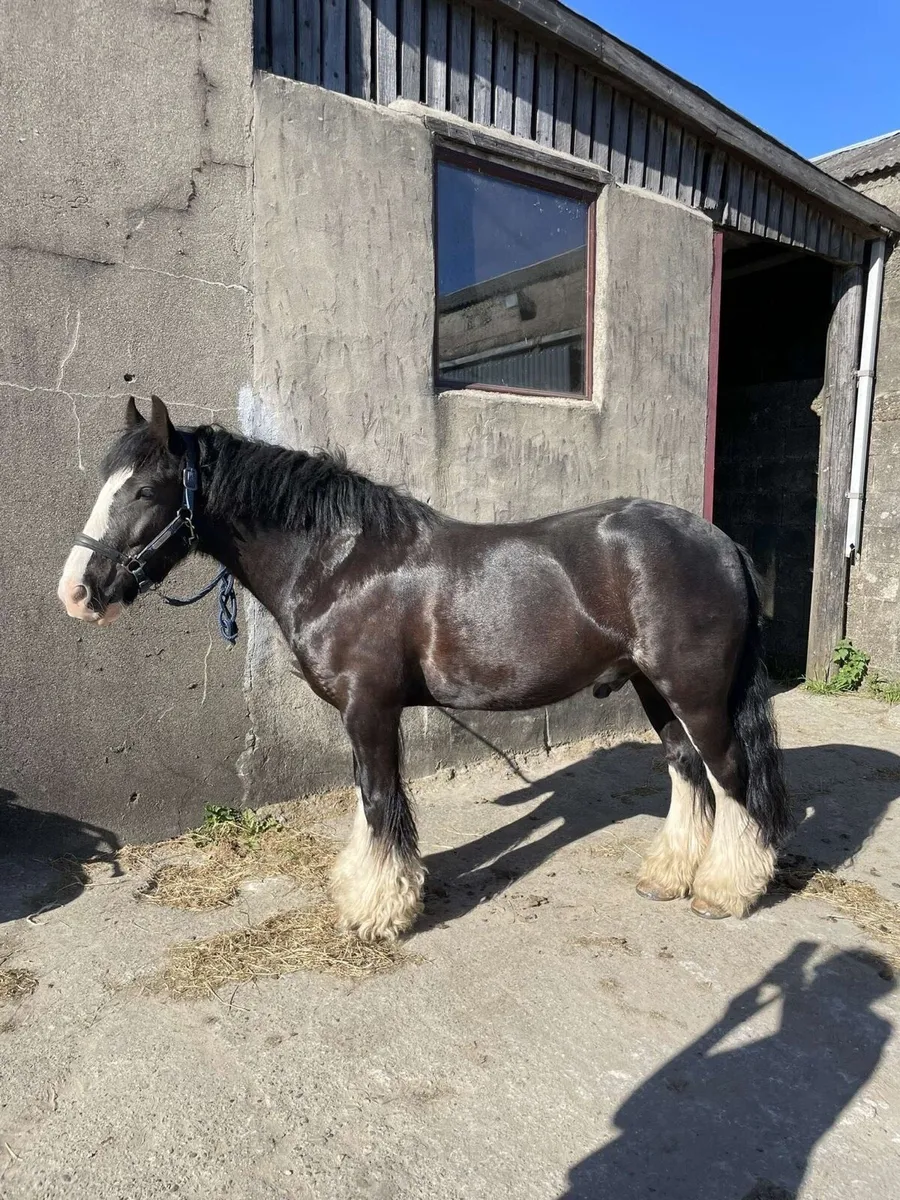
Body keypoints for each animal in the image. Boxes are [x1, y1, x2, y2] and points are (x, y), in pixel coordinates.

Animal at [58, 396, 794, 941]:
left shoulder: (371, 708)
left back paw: (725, 891)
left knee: (732, 779)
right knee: (688, 773)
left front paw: (378, 913)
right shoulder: (366, 714)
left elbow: (380, 801)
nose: (76, 592)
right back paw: (667, 878)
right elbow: (368, 801)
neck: (341, 563)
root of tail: (720, 541)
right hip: (653, 690)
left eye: (144, 491)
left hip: (696, 694)